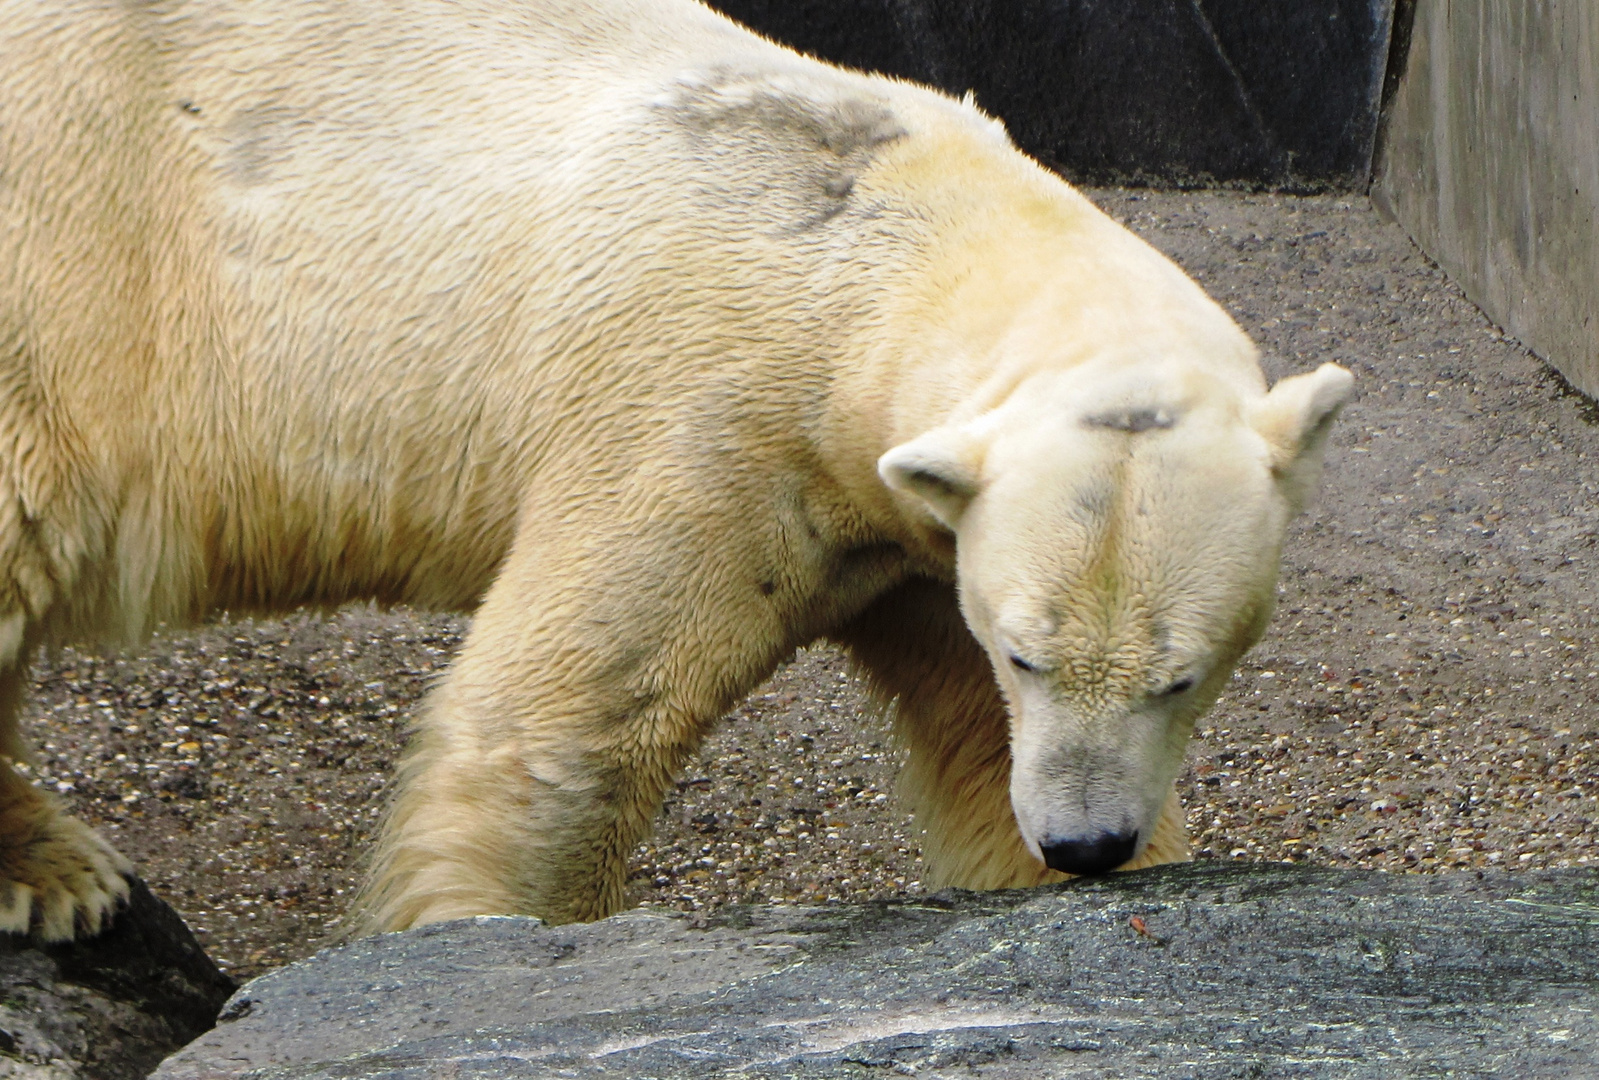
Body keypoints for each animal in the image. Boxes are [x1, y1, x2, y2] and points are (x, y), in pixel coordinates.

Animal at [0, 0, 1349, 940]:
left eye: (1183, 677)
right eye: (1029, 653)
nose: (1086, 845)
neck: (891, 225)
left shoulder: (911, 517)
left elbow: (971, 735)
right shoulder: (712, 415)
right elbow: (569, 725)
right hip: (75, 252)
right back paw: (55, 871)